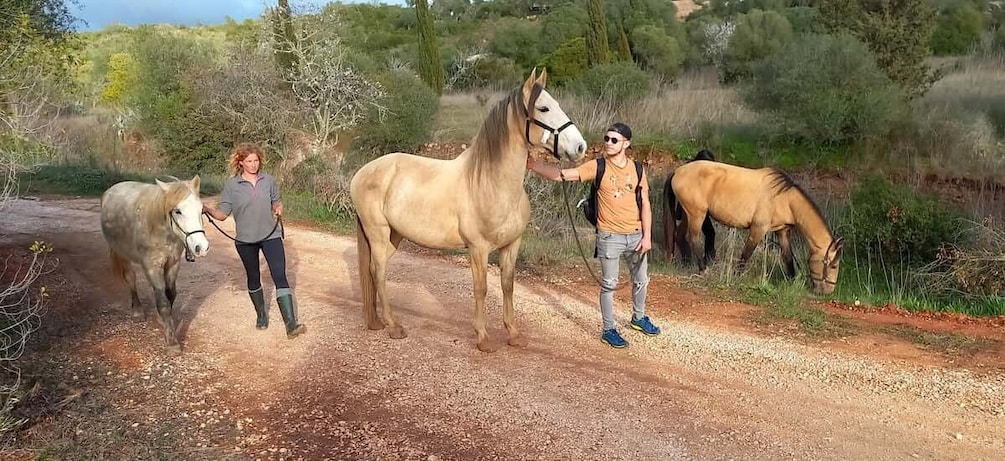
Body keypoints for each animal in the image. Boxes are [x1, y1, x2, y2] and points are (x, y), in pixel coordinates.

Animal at [98, 174, 209, 351]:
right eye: (178, 211)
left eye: (201, 209)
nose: (201, 247)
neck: (161, 230)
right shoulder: (151, 266)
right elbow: (163, 303)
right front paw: (172, 342)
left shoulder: (173, 263)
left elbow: (170, 294)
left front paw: (164, 321)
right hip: (122, 254)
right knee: (131, 279)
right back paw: (137, 311)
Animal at [351, 68, 586, 351]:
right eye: (543, 108)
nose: (580, 147)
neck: (491, 182)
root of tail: (362, 172)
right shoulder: (478, 248)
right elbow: (481, 288)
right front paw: (483, 338)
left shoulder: (512, 245)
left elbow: (507, 285)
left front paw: (513, 334)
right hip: (378, 233)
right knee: (378, 271)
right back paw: (394, 326)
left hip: (393, 236)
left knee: (375, 270)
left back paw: (378, 321)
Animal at [667, 160, 848, 293]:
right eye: (833, 265)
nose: (828, 291)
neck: (784, 198)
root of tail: (677, 171)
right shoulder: (758, 229)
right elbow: (746, 254)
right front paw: (736, 276)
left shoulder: (782, 231)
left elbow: (787, 257)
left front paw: (791, 281)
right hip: (697, 215)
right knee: (693, 238)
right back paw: (703, 269)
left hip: (688, 215)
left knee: (681, 237)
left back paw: (686, 264)